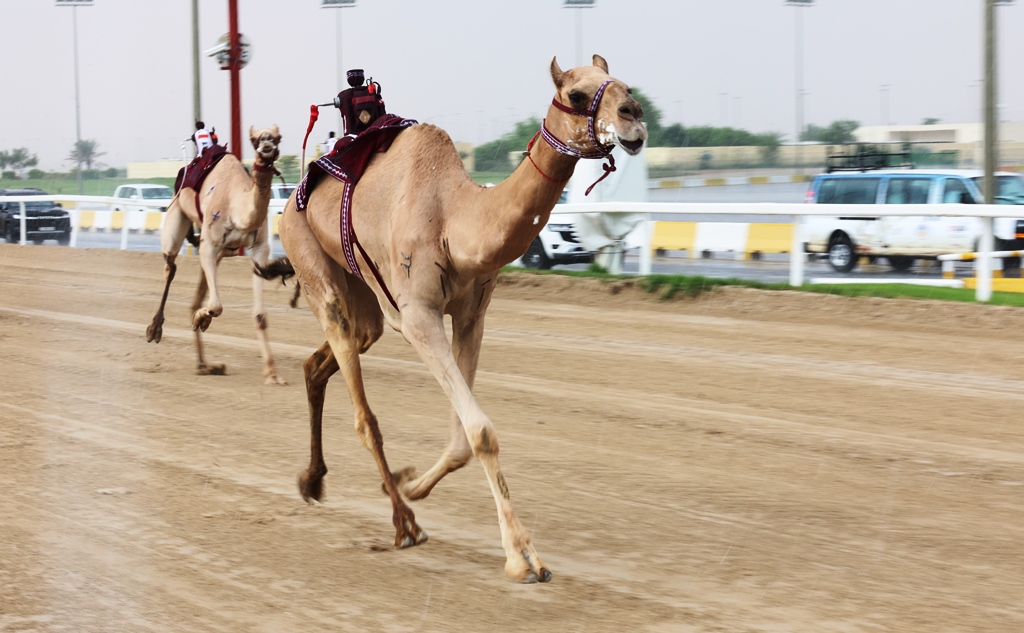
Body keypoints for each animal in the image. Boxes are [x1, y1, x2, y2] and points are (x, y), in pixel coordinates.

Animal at [147, 121, 288, 378]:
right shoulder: (209, 243)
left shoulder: (258, 249)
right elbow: (216, 306)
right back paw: (155, 330)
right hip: (176, 218)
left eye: (277, 137)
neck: (238, 208)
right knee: (170, 266)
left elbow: (260, 315)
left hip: (221, 251)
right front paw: (200, 319)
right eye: (253, 139)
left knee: (197, 292)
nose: (266, 147)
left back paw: (205, 365)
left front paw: (273, 373)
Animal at [268, 56, 643, 577]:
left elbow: (466, 438)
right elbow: (481, 431)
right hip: (310, 259)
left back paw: (316, 480)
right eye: (576, 94)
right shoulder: (419, 316)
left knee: (320, 362)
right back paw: (403, 524)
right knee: (362, 410)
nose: (634, 118)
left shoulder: (471, 316)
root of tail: (290, 196)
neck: (455, 221)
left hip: (363, 297)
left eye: (624, 85)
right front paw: (522, 555)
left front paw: (411, 484)